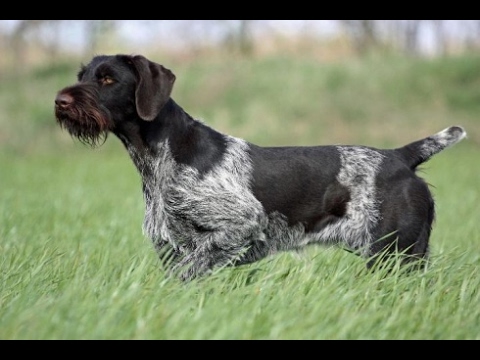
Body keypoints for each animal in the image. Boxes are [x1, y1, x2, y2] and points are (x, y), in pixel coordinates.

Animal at [54, 53, 466, 280]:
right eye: (81, 76)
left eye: (108, 78)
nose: (60, 101)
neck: (161, 157)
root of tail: (400, 155)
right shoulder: (170, 247)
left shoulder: (239, 226)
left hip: (397, 255)